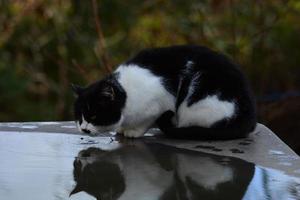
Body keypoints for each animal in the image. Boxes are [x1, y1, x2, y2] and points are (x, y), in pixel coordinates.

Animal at [72, 45, 255, 139]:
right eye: (79, 117)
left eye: (94, 116)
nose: (84, 129)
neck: (127, 93)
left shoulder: (160, 101)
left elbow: (146, 121)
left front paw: (133, 131)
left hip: (195, 103)